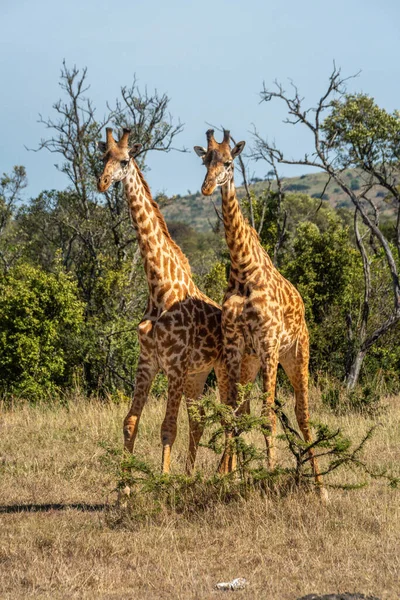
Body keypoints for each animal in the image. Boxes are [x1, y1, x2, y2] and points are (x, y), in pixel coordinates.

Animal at [97, 129, 260, 476]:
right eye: (103, 156)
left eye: (125, 160)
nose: (102, 182)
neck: (159, 288)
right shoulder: (148, 362)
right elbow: (130, 423)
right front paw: (124, 486)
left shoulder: (174, 364)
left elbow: (167, 427)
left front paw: (163, 482)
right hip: (198, 376)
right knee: (204, 420)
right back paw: (195, 474)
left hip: (227, 369)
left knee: (231, 415)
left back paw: (226, 474)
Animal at [193, 129, 324, 494]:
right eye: (205, 161)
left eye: (228, 162)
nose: (207, 187)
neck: (243, 269)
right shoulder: (236, 346)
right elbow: (234, 412)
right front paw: (231, 479)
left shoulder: (268, 343)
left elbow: (267, 414)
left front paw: (269, 476)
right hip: (252, 363)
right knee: (250, 409)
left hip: (295, 354)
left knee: (302, 413)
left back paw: (322, 489)